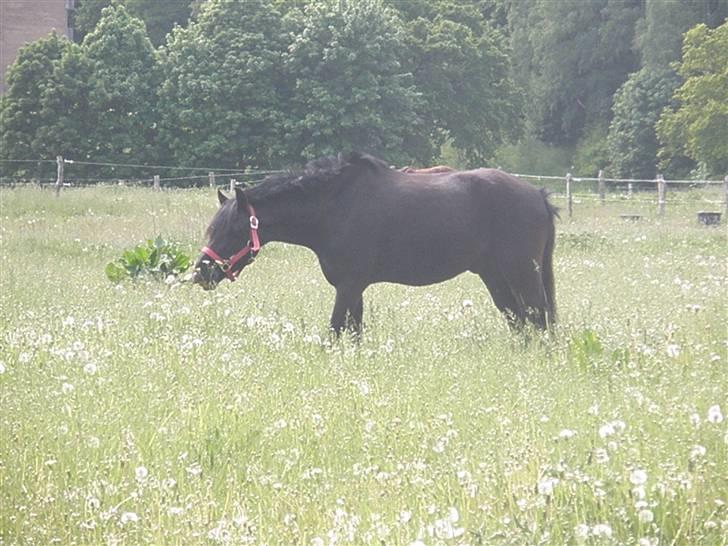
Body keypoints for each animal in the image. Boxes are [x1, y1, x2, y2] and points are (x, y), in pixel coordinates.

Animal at [193, 152, 556, 332]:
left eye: (232, 231)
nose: (200, 272)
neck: (335, 207)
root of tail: (537, 195)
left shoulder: (349, 286)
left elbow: (335, 331)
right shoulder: (354, 290)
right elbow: (353, 333)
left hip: (523, 274)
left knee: (539, 319)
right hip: (495, 277)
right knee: (520, 322)